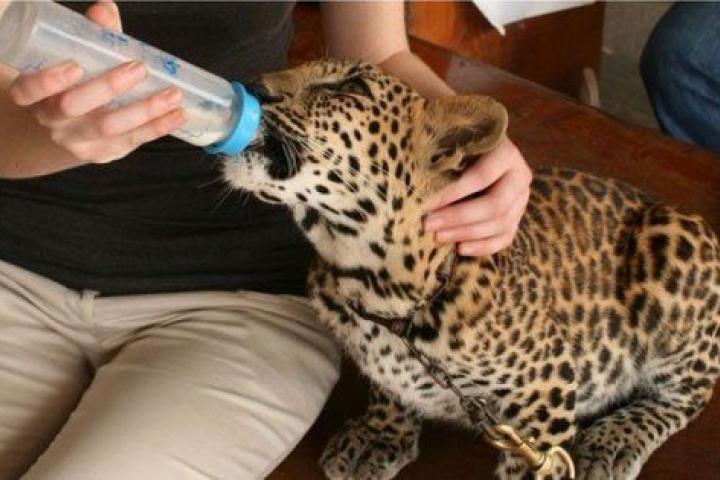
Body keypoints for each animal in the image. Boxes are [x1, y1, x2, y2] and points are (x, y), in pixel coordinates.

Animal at [222, 59, 720, 480]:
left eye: (348, 87)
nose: (254, 86)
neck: (371, 279)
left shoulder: (548, 387)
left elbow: (537, 467)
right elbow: (390, 386)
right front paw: (380, 432)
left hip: (675, 238)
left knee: (686, 395)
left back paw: (613, 441)